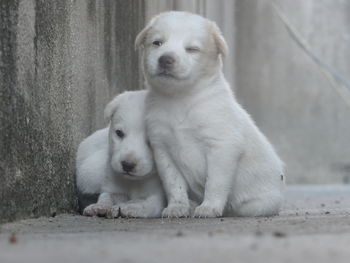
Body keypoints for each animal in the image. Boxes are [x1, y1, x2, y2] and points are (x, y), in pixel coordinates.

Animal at [76, 91, 165, 219]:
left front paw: (129, 207)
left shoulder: (157, 195)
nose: (127, 165)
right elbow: (106, 196)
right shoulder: (113, 184)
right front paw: (98, 206)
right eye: (119, 133)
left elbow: (148, 204)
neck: (133, 182)